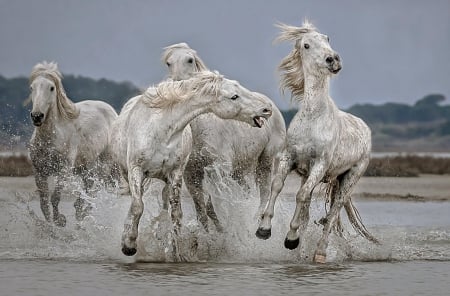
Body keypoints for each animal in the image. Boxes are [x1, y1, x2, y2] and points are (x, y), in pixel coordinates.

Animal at [27, 61, 118, 225]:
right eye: (32, 87)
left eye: (51, 87)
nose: (37, 116)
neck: (49, 139)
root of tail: (113, 112)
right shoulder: (39, 171)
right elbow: (44, 203)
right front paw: (49, 225)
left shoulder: (63, 170)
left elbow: (55, 197)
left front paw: (60, 221)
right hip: (86, 167)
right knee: (89, 188)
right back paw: (79, 212)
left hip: (104, 165)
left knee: (93, 191)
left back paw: (81, 212)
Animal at [163, 42, 286, 231]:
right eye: (168, 62)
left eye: (189, 60)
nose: (177, 85)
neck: (200, 128)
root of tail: (274, 108)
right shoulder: (192, 175)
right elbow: (203, 209)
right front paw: (212, 232)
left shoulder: (220, 169)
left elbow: (219, 203)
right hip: (240, 170)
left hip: (265, 161)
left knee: (264, 193)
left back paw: (257, 223)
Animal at [255, 21, 378, 264]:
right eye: (306, 45)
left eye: (327, 38)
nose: (333, 59)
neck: (313, 117)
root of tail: (365, 128)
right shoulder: (289, 158)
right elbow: (277, 186)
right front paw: (264, 229)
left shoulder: (319, 166)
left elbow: (301, 197)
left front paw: (290, 239)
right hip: (312, 176)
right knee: (311, 210)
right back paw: (301, 252)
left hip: (350, 178)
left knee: (333, 212)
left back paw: (319, 253)